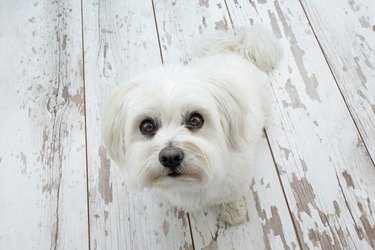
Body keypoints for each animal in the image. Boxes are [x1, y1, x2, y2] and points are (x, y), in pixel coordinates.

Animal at [101, 26, 280, 225]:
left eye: (196, 119)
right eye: (146, 126)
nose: (170, 156)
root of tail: (236, 50)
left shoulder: (236, 182)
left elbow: (229, 197)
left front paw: (232, 210)